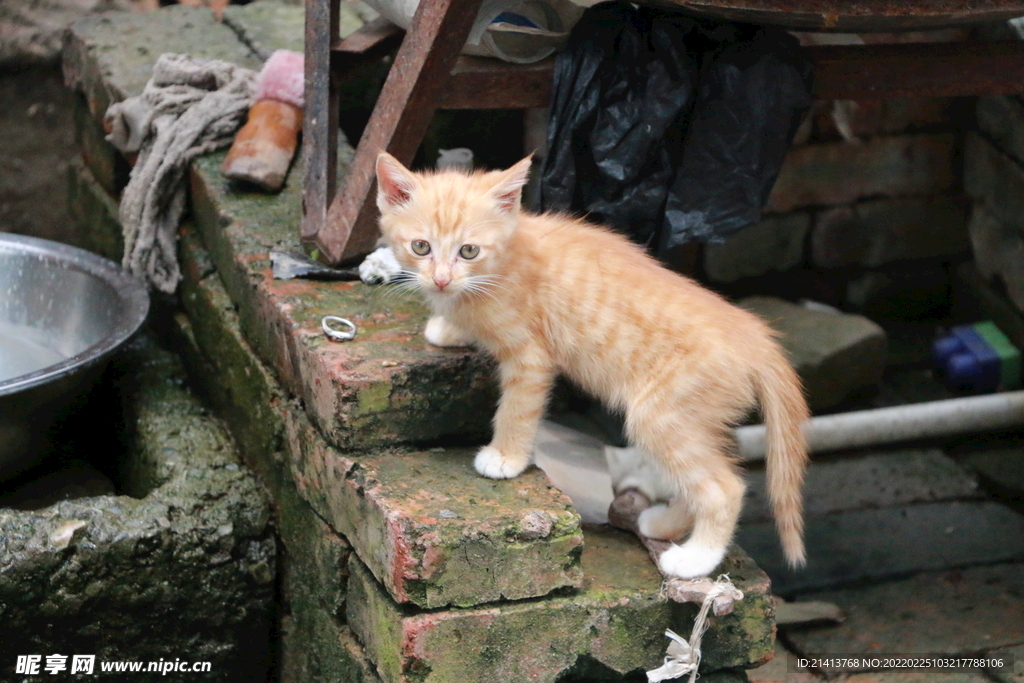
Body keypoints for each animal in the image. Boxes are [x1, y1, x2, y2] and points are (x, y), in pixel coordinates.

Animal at [374, 153, 806, 577]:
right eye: (421, 247)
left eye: (468, 251)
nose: (441, 280)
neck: (508, 257)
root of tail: (754, 335)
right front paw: (449, 326)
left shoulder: (531, 358)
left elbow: (516, 410)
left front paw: (506, 457)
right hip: (696, 422)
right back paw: (664, 524)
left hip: (660, 415)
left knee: (724, 487)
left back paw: (695, 559)